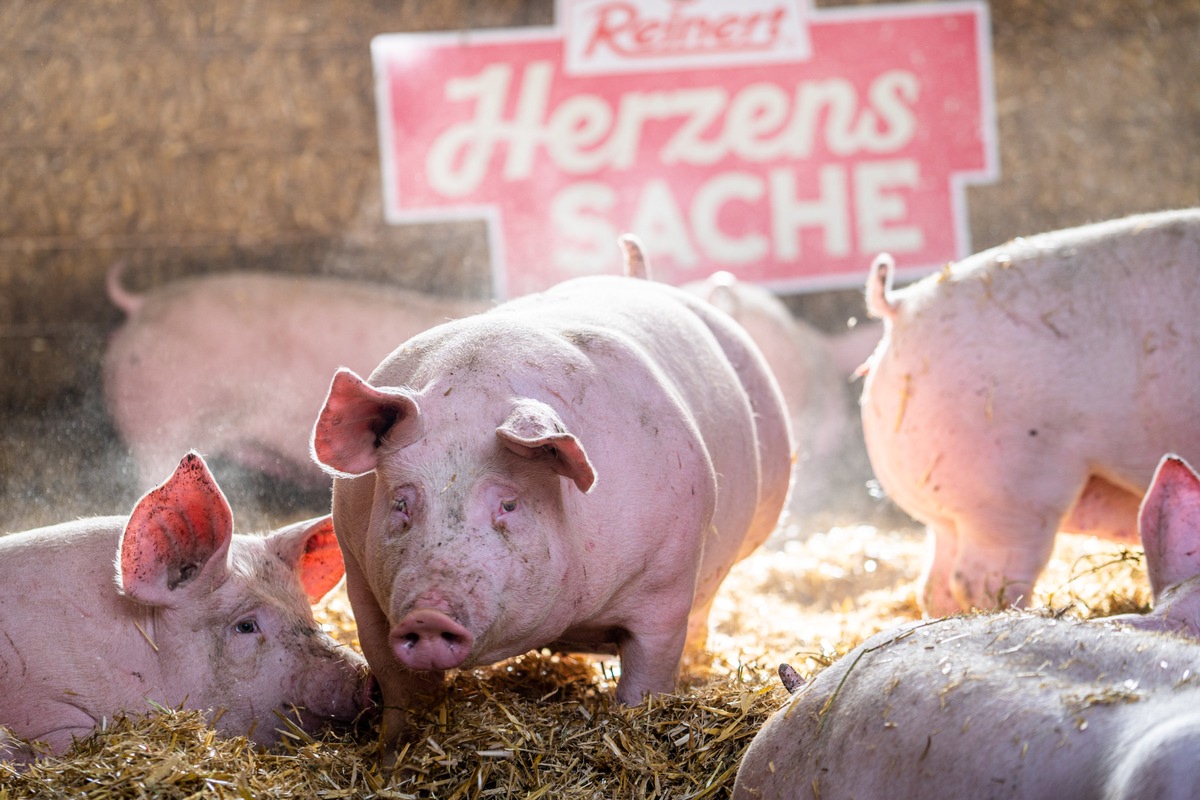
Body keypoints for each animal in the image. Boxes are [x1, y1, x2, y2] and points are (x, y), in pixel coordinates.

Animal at [312, 260, 796, 743]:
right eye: (401, 503)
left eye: (508, 505)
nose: (429, 616)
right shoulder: (359, 576)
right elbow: (398, 685)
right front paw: (396, 749)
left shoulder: (667, 582)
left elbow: (648, 678)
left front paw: (634, 718)